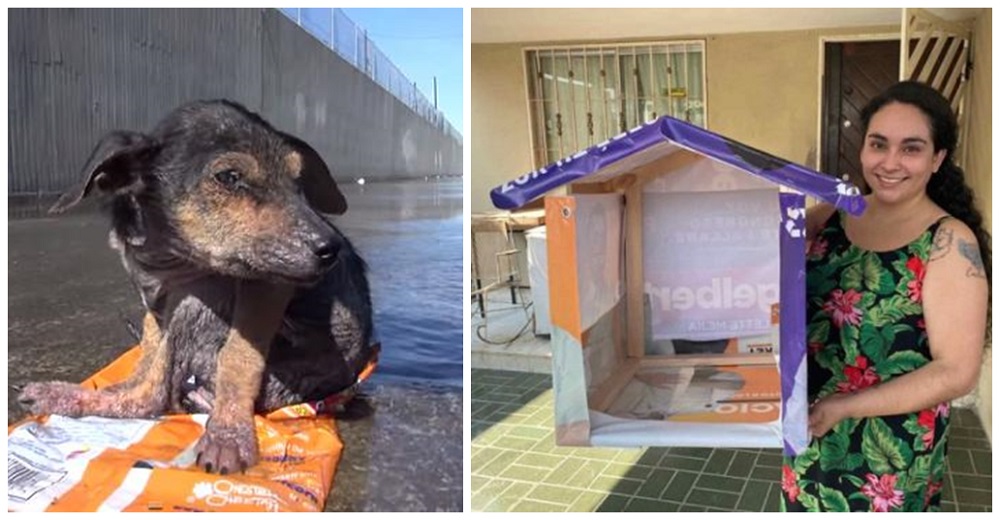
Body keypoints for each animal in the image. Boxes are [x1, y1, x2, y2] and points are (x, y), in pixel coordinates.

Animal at [19, 100, 378, 476]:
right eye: (229, 177)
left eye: (297, 179)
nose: (330, 248)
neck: (167, 253)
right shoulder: (155, 301)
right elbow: (149, 350)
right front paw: (126, 377)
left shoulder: (268, 282)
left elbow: (238, 356)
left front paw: (229, 433)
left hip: (207, 307)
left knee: (151, 399)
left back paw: (66, 396)